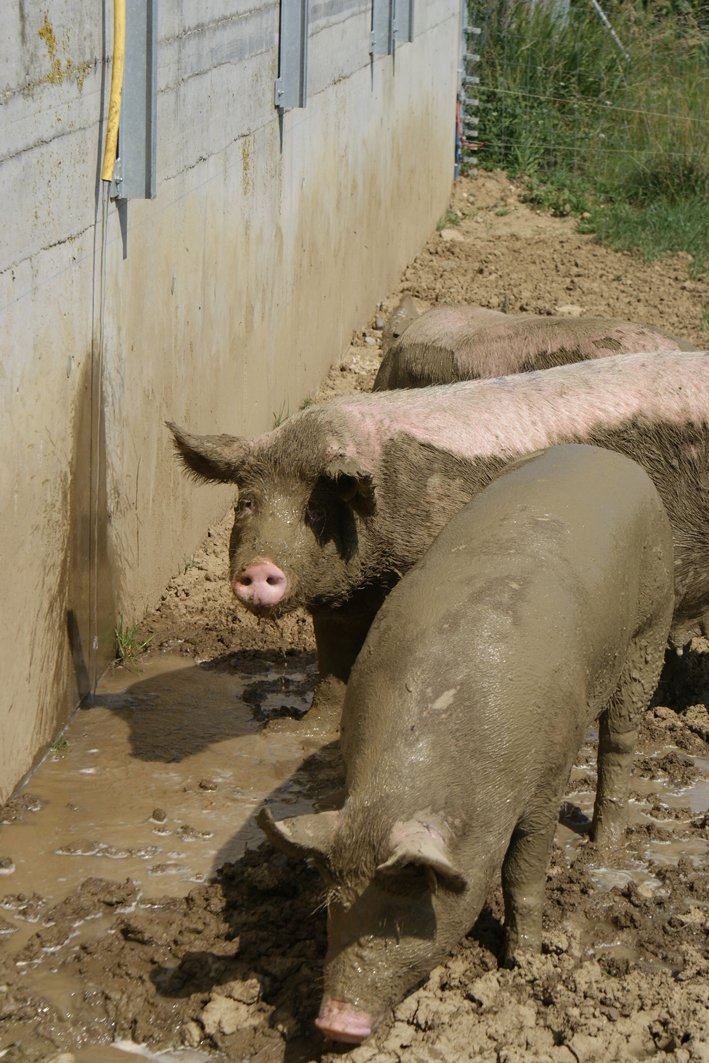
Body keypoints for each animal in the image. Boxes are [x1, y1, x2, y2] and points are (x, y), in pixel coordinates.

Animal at [168, 349, 709, 727]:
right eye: (246, 503)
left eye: (316, 510)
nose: (259, 568)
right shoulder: (343, 599)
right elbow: (332, 662)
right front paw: (303, 725)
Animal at [258, 444, 675, 1042]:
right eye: (335, 903)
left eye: (404, 911)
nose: (336, 1021)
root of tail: (607, 455)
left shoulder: (546, 778)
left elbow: (523, 871)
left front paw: (521, 964)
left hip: (651, 622)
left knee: (620, 737)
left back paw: (605, 847)